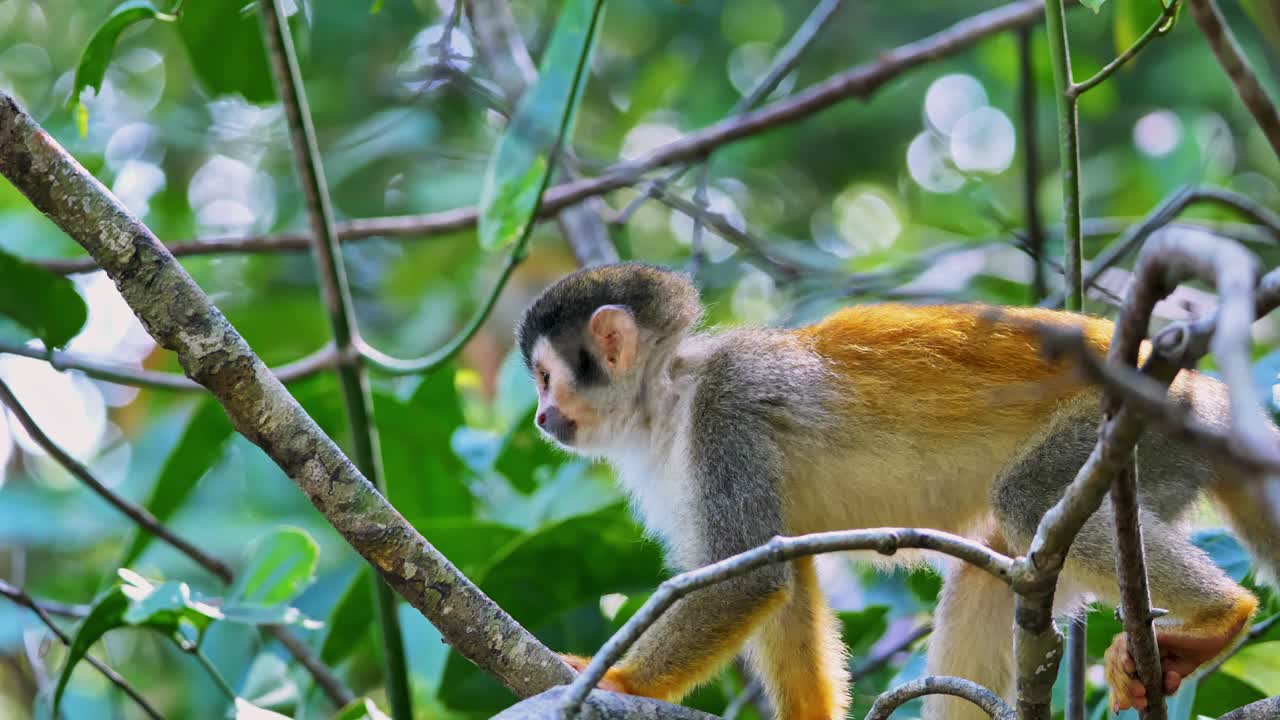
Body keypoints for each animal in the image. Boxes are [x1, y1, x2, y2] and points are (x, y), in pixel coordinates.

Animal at [514, 262, 1278, 720]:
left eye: (547, 379)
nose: (541, 417)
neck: (669, 395)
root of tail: (1207, 392)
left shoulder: (723, 416)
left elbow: (746, 582)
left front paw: (616, 682)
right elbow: (782, 570)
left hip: (1138, 425)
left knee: (1029, 499)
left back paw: (1222, 616)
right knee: (1002, 566)